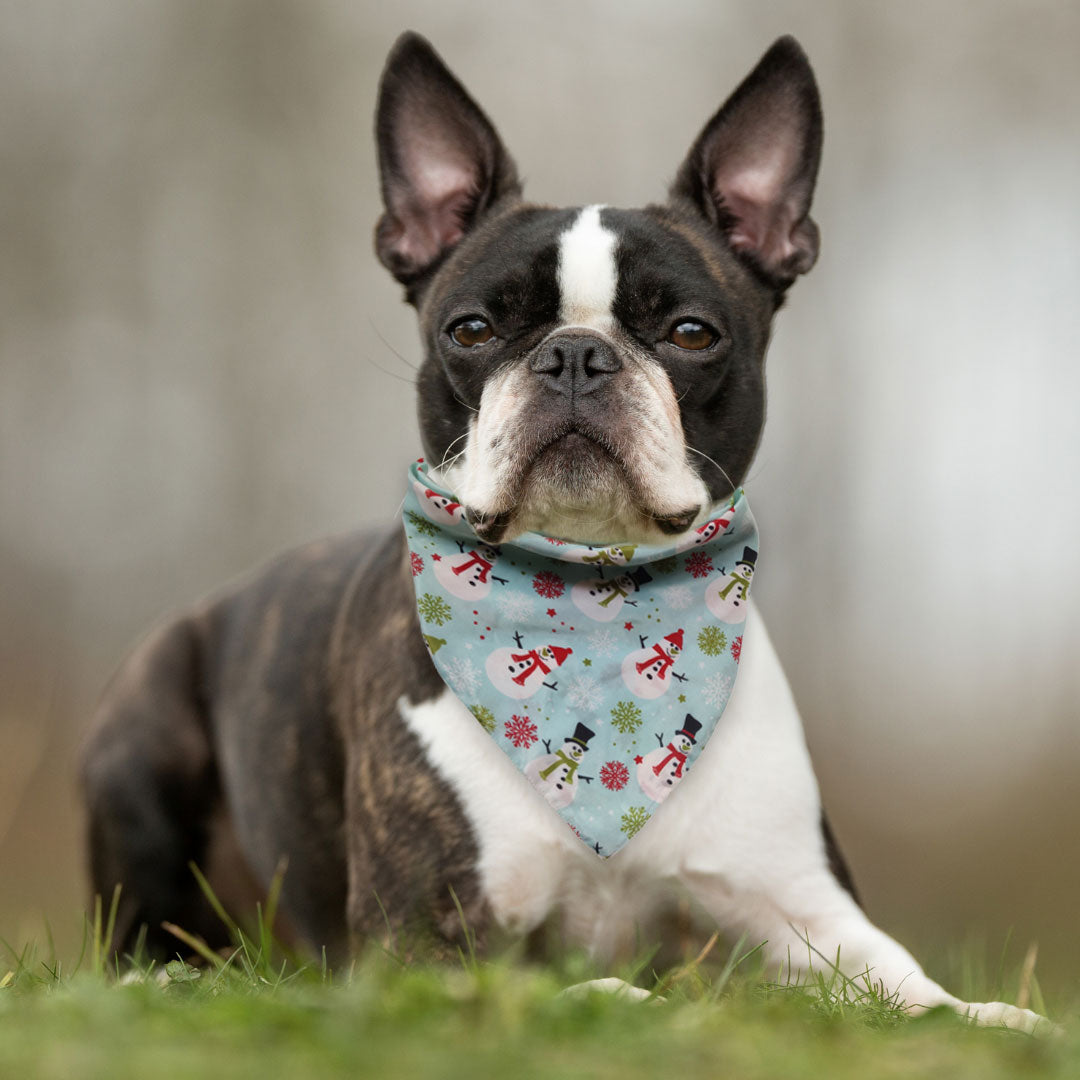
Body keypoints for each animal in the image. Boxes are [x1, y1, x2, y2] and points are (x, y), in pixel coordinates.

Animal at [82, 31, 1045, 1028]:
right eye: (471, 329)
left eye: (691, 333)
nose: (576, 354)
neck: (592, 600)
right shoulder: (418, 941)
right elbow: (575, 984)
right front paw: (636, 1002)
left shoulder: (811, 911)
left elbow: (908, 988)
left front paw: (994, 1019)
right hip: (144, 735)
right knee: (138, 937)